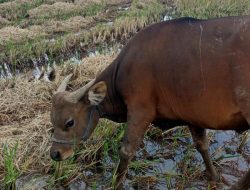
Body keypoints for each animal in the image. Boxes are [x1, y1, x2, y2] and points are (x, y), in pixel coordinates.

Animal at [49, 15, 250, 189]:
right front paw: (213, 176)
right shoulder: (194, 117)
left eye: (69, 122)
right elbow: (202, 146)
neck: (121, 71)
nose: (55, 153)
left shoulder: (140, 110)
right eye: (52, 122)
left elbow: (126, 151)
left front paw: (115, 184)